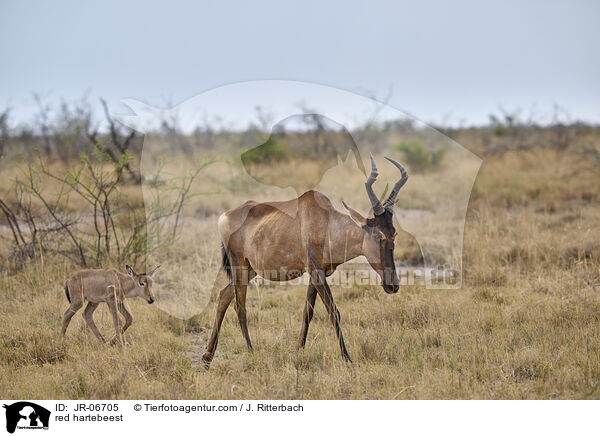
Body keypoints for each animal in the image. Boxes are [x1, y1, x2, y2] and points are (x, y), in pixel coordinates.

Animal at [203, 155, 408, 366]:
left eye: (394, 234)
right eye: (378, 235)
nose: (392, 285)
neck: (326, 222)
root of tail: (225, 216)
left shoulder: (318, 273)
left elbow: (307, 312)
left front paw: (298, 350)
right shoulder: (316, 272)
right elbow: (334, 312)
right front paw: (346, 357)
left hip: (250, 270)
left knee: (224, 295)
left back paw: (207, 357)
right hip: (239, 265)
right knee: (240, 306)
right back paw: (250, 352)